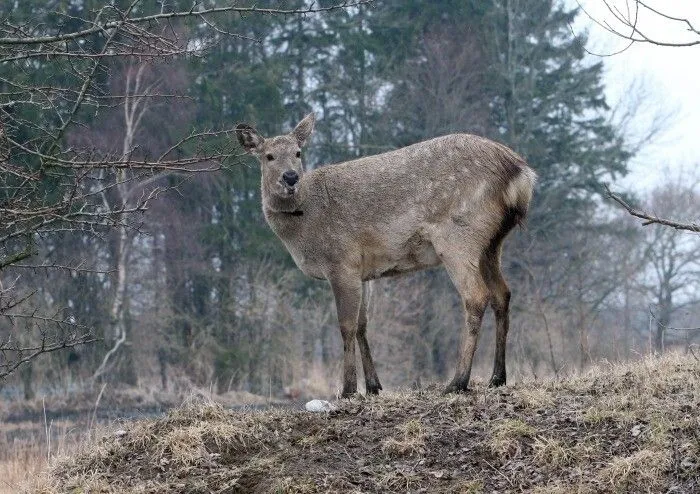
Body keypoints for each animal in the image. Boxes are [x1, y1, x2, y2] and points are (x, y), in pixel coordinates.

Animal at [235, 113, 536, 398]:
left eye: (298, 152)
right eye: (268, 156)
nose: (290, 177)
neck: (304, 225)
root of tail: (520, 173)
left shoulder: (341, 261)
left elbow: (346, 325)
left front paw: (347, 389)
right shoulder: (363, 271)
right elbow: (362, 325)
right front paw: (373, 386)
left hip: (459, 235)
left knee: (476, 296)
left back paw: (458, 382)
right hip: (492, 244)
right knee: (502, 294)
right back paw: (497, 378)